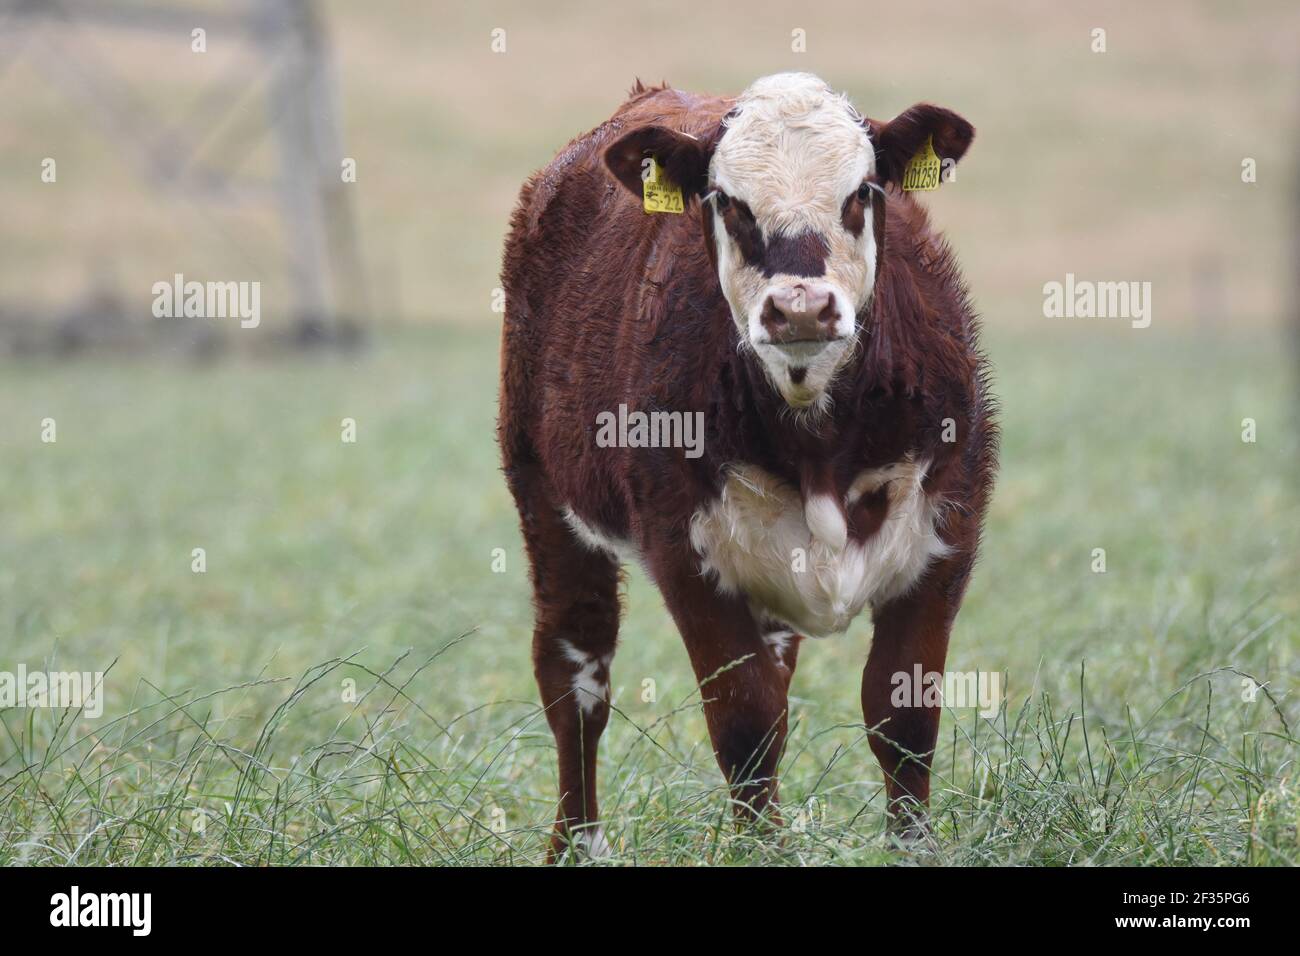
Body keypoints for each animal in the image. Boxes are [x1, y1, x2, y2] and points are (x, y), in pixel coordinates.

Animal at [499, 72, 997, 860]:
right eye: (729, 202)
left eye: (861, 192)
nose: (802, 308)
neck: (818, 434)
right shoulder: (685, 552)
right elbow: (745, 721)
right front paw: (762, 848)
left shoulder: (948, 533)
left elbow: (902, 716)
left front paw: (912, 847)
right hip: (544, 497)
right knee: (575, 680)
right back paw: (577, 844)